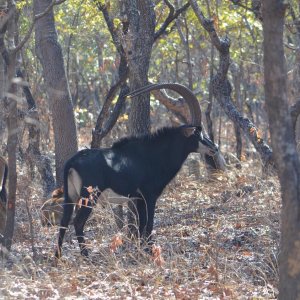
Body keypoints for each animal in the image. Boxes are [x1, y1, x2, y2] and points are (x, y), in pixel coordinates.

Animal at [55, 82, 220, 258]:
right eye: (197, 133)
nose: (215, 148)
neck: (154, 154)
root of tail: (72, 161)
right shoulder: (149, 196)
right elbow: (149, 224)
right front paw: (149, 252)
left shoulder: (138, 198)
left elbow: (141, 226)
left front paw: (142, 250)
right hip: (90, 196)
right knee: (78, 221)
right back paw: (86, 256)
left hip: (71, 195)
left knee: (64, 221)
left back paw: (57, 257)